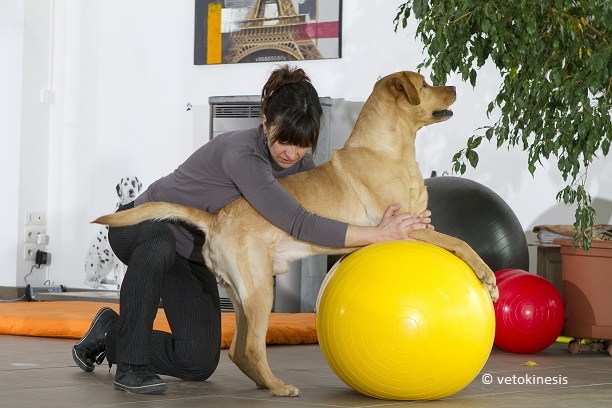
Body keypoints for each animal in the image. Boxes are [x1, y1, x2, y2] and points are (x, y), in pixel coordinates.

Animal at [94, 71, 498, 396]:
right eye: (426, 84)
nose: (454, 87)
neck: (388, 151)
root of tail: (216, 218)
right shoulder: (406, 230)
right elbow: (461, 241)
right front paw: (488, 277)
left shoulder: (421, 225)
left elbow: (454, 239)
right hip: (260, 290)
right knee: (252, 348)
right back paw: (278, 387)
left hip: (241, 293)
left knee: (238, 350)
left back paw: (263, 383)